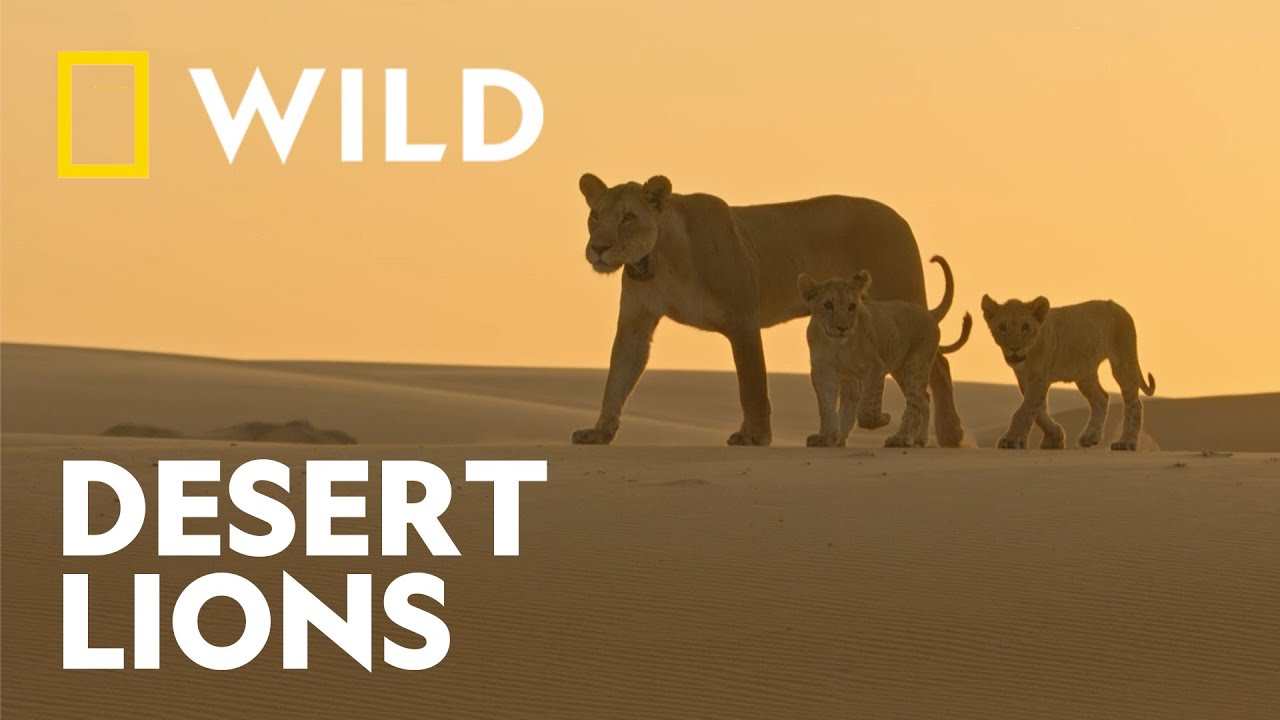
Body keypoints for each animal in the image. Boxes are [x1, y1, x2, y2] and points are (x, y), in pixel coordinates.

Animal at [800, 259, 973, 448]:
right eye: (828, 305)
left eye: (852, 307)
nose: (842, 328)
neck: (837, 345)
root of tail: (927, 313)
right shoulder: (823, 370)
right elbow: (826, 406)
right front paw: (827, 438)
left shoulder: (875, 367)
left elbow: (867, 408)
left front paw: (884, 418)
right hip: (900, 370)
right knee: (924, 399)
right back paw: (919, 439)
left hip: (915, 365)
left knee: (915, 403)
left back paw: (901, 438)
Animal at [980, 295, 1157, 451]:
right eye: (1002, 327)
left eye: (1025, 327)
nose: (1014, 348)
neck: (1029, 355)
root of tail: (1118, 306)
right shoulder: (1025, 379)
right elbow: (1038, 411)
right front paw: (1055, 438)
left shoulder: (1039, 379)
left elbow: (1025, 410)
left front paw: (1012, 439)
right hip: (1084, 373)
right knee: (1101, 397)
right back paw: (1091, 436)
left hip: (1123, 362)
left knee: (1134, 404)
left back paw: (1126, 443)